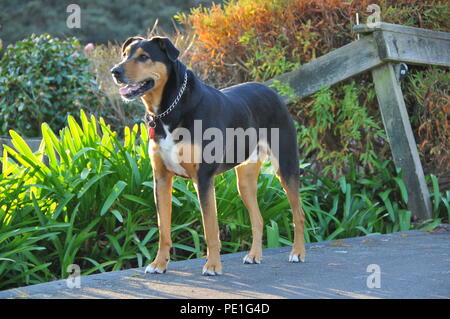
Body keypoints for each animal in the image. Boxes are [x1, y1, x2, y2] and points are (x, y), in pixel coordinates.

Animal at [111, 36, 306, 276]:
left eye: (144, 57)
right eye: (124, 54)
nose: (115, 71)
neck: (168, 109)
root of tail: (272, 92)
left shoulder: (203, 178)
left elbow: (210, 227)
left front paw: (212, 265)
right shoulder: (162, 178)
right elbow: (163, 227)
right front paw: (159, 263)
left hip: (286, 166)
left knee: (298, 214)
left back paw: (297, 252)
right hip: (244, 180)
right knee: (258, 218)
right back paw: (254, 255)